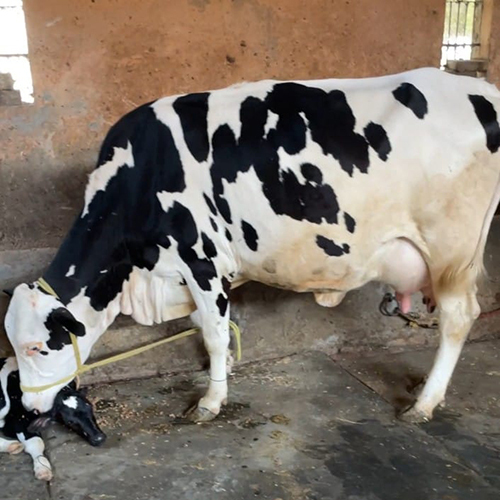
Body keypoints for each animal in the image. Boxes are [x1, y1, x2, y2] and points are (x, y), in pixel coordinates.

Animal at [3, 67, 500, 426]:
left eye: (37, 348)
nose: (28, 409)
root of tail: (481, 89)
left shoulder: (201, 260)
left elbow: (214, 332)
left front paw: (211, 400)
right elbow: (212, 330)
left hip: (451, 250)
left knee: (458, 319)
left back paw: (424, 404)